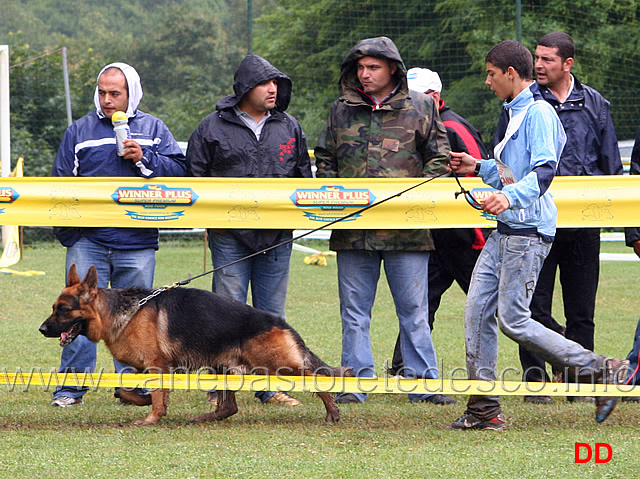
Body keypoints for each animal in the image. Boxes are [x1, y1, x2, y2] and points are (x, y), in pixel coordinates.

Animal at [40, 264, 348, 426]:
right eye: (53, 308)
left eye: (63, 310)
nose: (42, 329)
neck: (123, 311)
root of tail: (280, 322)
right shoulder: (147, 368)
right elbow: (130, 390)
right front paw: (144, 402)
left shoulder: (158, 366)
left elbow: (156, 395)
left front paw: (151, 418)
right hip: (223, 367)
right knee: (228, 407)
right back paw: (204, 418)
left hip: (278, 366)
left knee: (319, 379)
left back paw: (332, 412)